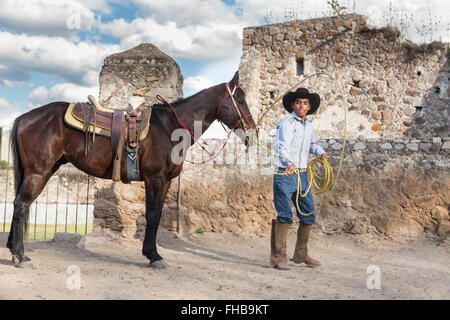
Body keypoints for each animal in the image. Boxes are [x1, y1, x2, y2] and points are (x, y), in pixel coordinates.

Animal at [7, 71, 255, 268]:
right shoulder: (156, 179)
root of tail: (25, 116)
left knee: (19, 204)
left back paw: (12, 249)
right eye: (239, 100)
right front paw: (153, 255)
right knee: (21, 205)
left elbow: (156, 214)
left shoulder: (166, 181)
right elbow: (153, 215)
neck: (169, 127)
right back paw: (20, 255)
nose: (252, 130)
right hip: (38, 172)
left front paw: (151, 253)